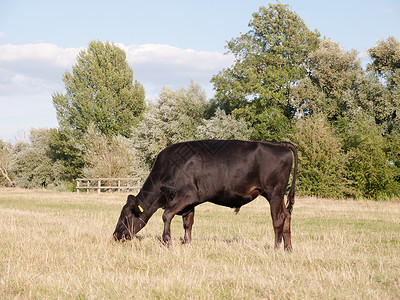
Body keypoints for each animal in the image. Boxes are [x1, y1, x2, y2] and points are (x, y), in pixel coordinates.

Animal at [112, 141, 296, 251]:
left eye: (125, 216)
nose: (115, 236)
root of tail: (279, 144)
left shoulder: (188, 195)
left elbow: (166, 215)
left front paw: (167, 241)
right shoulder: (190, 203)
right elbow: (188, 223)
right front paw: (186, 243)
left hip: (274, 192)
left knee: (278, 219)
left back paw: (276, 248)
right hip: (277, 195)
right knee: (287, 216)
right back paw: (288, 248)